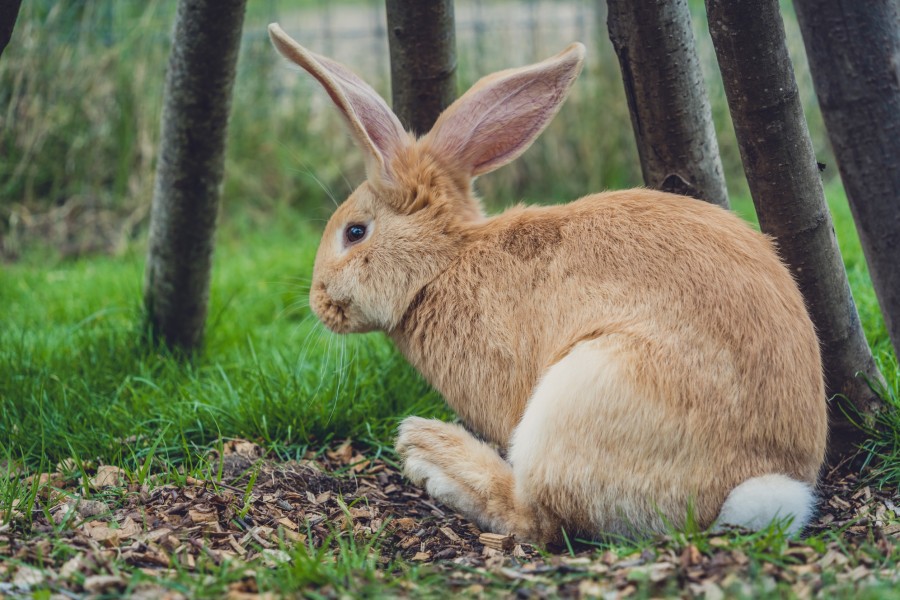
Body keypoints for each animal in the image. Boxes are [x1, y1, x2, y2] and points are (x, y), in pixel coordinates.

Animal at [268, 23, 828, 540]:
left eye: (355, 233)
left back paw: (429, 450)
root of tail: (750, 487)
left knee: (537, 517)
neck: (444, 262)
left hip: (587, 392)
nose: (317, 302)